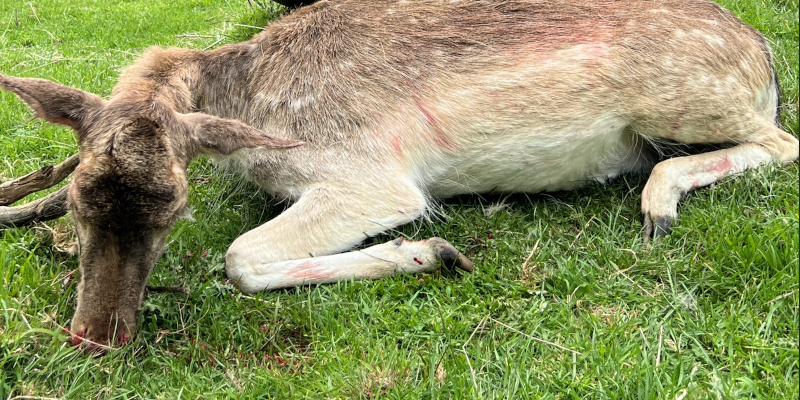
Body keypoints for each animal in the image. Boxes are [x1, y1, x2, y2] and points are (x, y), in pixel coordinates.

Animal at [0, 0, 797, 352]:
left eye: (174, 209)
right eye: (80, 205)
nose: (95, 338)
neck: (252, 107)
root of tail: (762, 52)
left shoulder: (370, 176)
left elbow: (239, 257)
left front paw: (434, 252)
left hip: (686, 103)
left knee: (782, 141)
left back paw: (659, 202)